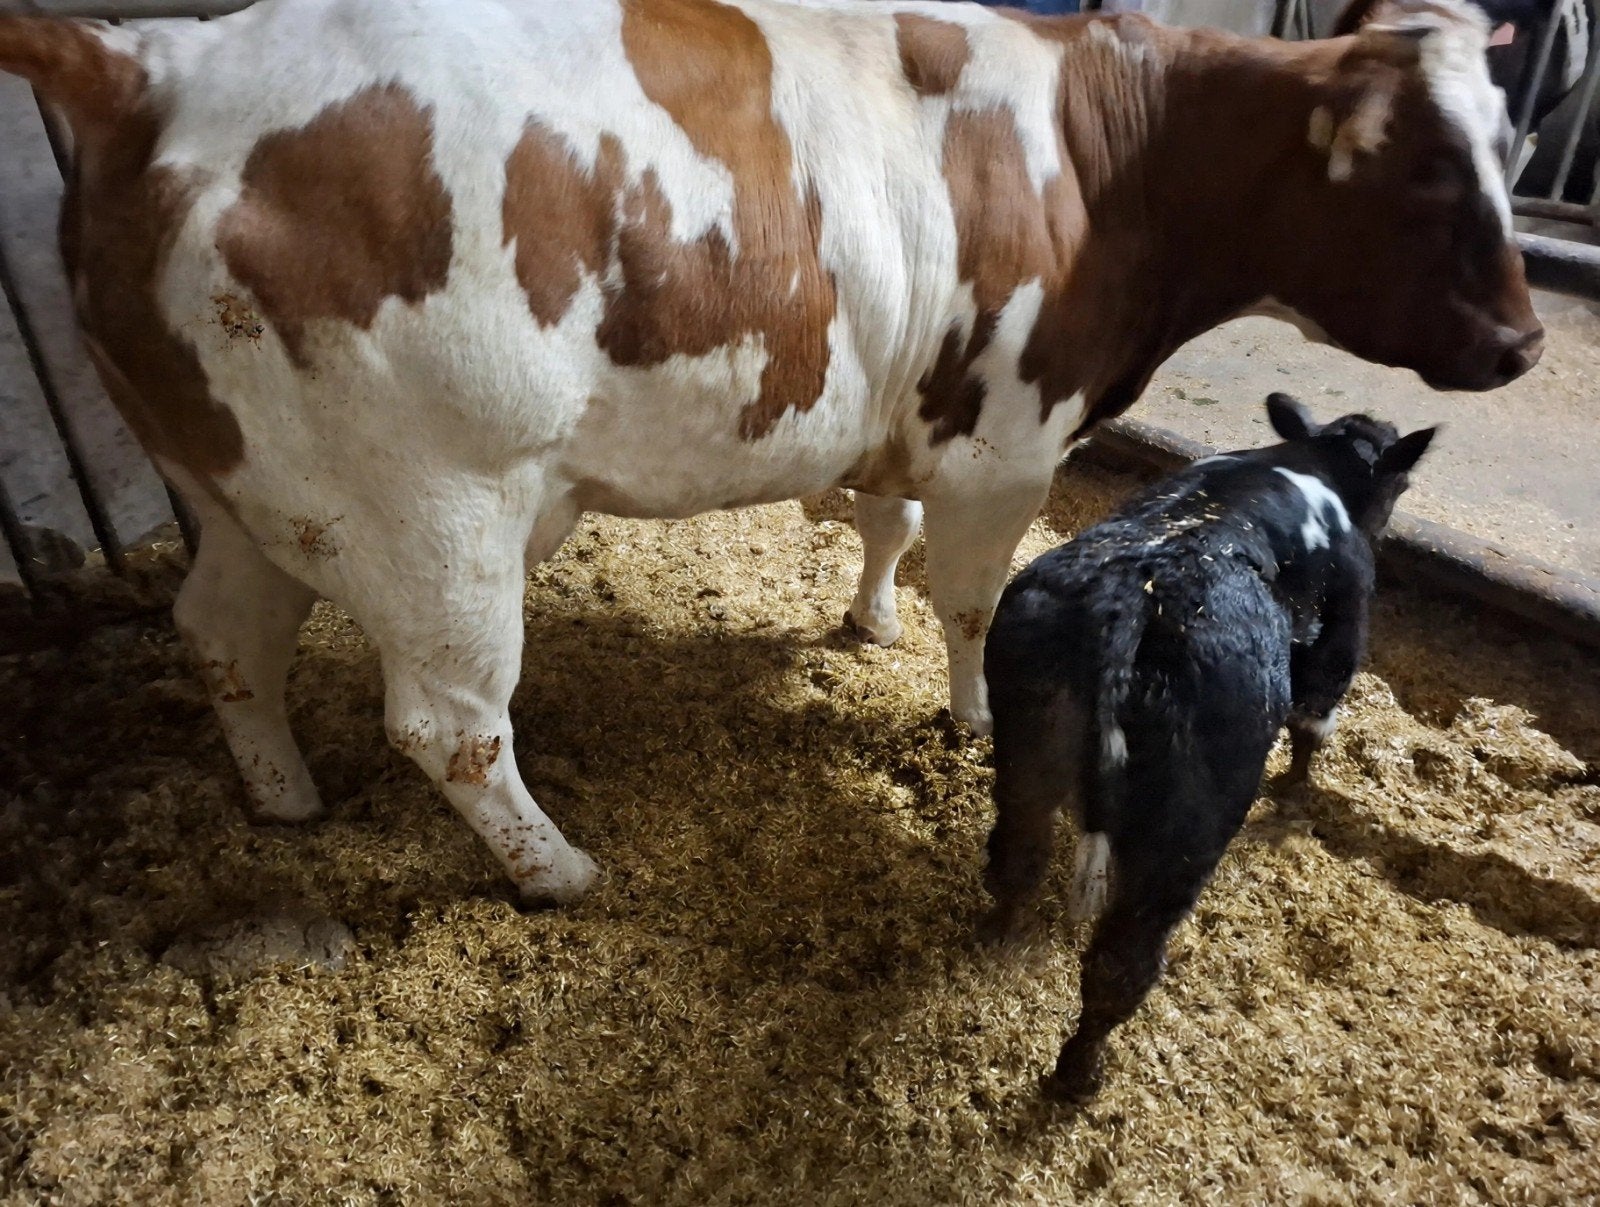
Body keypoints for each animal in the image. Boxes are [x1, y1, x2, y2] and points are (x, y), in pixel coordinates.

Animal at [0, 0, 1538, 904]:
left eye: (1512, 150)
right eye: (1424, 170)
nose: (1526, 341)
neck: (1109, 156)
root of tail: (149, 59)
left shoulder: (904, 405)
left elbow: (885, 527)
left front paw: (860, 622)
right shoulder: (1008, 438)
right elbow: (973, 598)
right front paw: (968, 710)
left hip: (251, 487)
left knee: (223, 633)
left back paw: (285, 802)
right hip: (426, 504)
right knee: (448, 720)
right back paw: (559, 868)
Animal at [981, 394, 1435, 1102]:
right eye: (1403, 484)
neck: (1317, 464)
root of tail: (1133, 599)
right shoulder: (1345, 625)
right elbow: (1316, 718)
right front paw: (1297, 794)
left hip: (1028, 748)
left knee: (1015, 861)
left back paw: (999, 934)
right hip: (1188, 824)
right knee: (1121, 963)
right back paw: (1079, 1076)